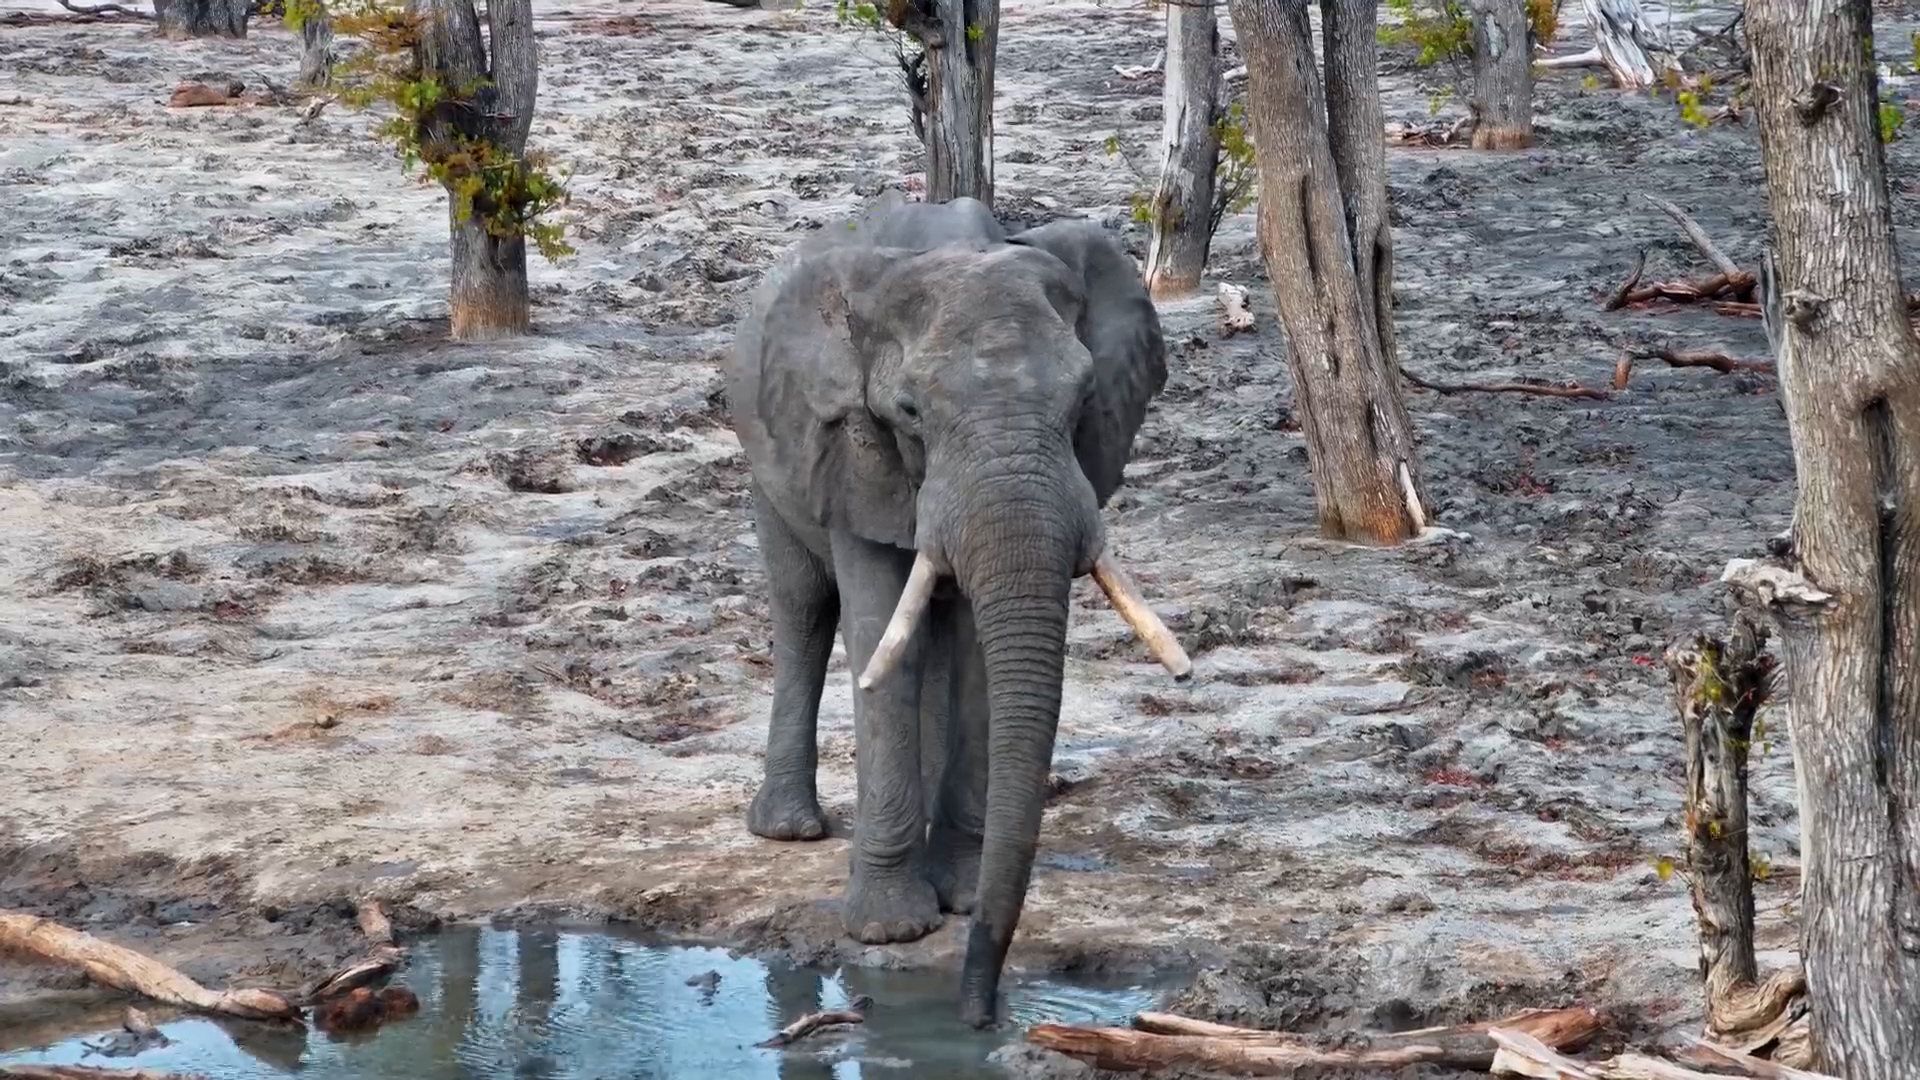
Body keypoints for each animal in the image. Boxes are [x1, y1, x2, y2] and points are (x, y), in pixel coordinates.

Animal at [726, 191, 1182, 1027]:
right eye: (910, 410)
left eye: (1083, 399)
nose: (980, 1016)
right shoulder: (853, 448)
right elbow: (876, 625)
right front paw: (891, 929)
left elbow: (971, 645)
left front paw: (962, 901)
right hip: (767, 447)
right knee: (803, 609)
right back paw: (790, 830)